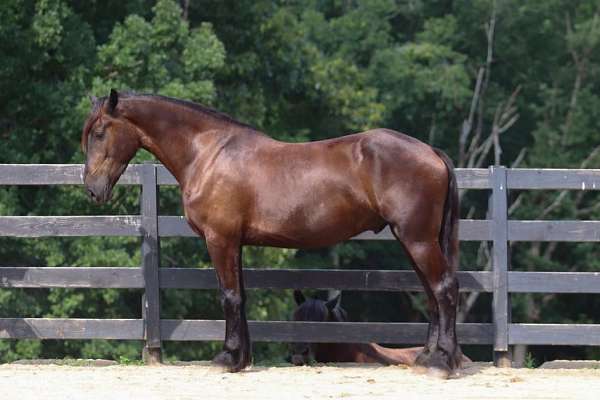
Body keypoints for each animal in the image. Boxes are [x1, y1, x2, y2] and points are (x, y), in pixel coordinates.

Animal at [82, 89, 462, 376]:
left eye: (100, 133)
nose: (92, 189)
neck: (209, 154)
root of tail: (431, 151)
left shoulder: (220, 239)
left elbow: (229, 297)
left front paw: (226, 358)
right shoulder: (235, 243)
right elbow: (240, 297)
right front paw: (241, 358)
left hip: (417, 240)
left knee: (444, 289)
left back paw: (441, 362)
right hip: (412, 241)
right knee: (432, 294)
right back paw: (428, 358)